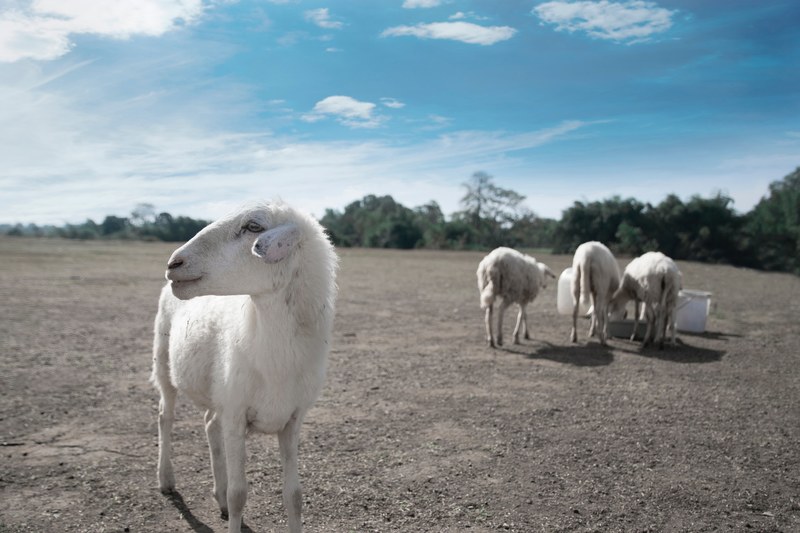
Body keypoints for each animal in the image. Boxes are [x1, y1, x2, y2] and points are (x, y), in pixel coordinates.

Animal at [151, 201, 338, 533]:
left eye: (253, 227)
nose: (174, 263)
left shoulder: (291, 420)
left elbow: (294, 496)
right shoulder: (237, 416)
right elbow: (239, 495)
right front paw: (232, 502)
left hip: (221, 393)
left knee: (210, 423)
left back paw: (218, 494)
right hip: (164, 363)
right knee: (165, 416)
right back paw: (166, 479)